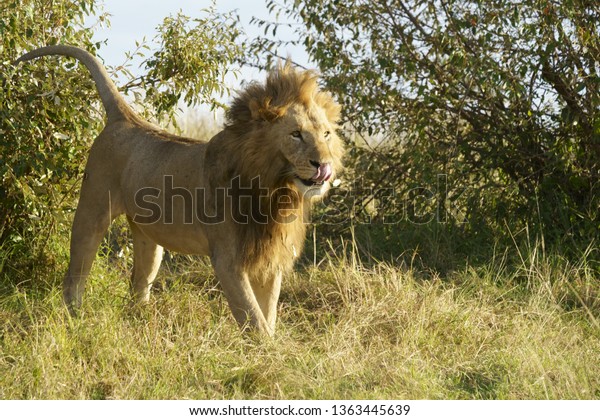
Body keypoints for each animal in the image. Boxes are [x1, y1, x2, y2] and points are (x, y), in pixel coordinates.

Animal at [16, 45, 344, 334]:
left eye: (326, 134)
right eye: (296, 134)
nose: (323, 165)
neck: (276, 190)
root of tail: (125, 118)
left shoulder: (269, 257)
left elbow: (269, 313)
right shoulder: (228, 260)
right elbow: (254, 319)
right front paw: (268, 353)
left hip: (148, 238)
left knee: (139, 284)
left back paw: (142, 323)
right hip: (91, 212)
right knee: (75, 276)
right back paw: (77, 321)